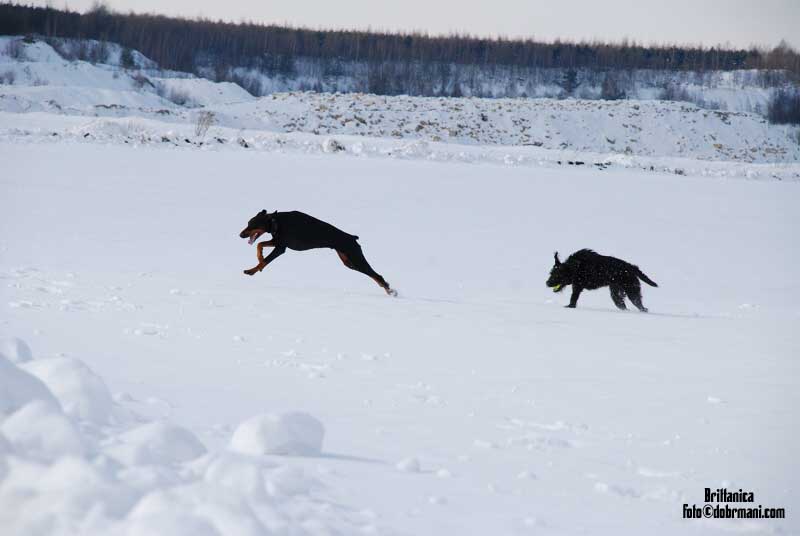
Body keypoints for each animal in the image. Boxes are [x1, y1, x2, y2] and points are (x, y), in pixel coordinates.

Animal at [239, 210, 397, 296]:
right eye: (247, 223)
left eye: (252, 225)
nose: (240, 235)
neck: (276, 221)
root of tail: (352, 238)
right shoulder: (278, 241)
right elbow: (259, 245)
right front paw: (258, 260)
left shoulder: (281, 248)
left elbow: (265, 260)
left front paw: (253, 269)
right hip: (348, 262)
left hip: (355, 258)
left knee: (376, 275)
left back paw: (391, 291)